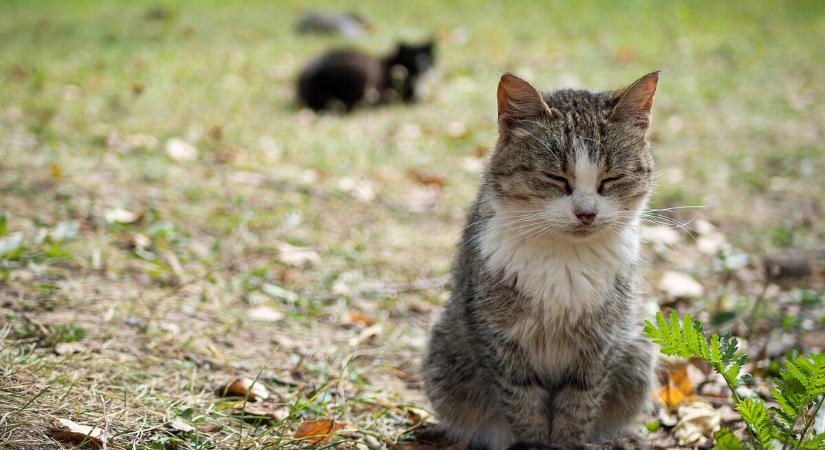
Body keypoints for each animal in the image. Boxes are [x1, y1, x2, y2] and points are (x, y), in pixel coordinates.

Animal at [422, 72, 660, 448]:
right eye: (555, 178)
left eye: (612, 179)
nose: (586, 214)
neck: (566, 259)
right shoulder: (504, 342)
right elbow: (523, 405)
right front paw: (533, 442)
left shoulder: (600, 346)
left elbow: (578, 407)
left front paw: (567, 441)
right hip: (446, 355)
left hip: (637, 350)